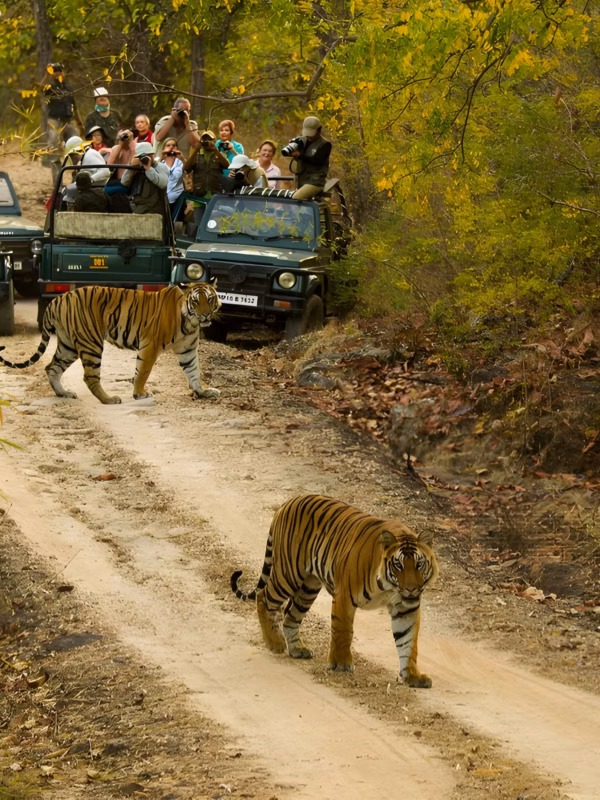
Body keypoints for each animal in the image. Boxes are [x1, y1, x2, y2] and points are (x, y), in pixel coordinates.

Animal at [0, 283, 221, 404]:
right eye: (196, 301)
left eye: (210, 299)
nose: (205, 315)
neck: (190, 322)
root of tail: (57, 299)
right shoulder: (150, 345)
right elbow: (143, 371)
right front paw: (139, 394)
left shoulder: (187, 349)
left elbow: (193, 371)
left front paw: (203, 391)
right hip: (91, 342)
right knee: (89, 377)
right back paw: (109, 400)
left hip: (68, 345)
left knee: (51, 368)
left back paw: (63, 393)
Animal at [231, 494, 439, 688]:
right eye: (398, 565)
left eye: (419, 564)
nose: (411, 589)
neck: (389, 587)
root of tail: (287, 502)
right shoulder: (344, 597)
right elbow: (343, 631)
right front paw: (341, 664)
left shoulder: (406, 609)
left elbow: (408, 642)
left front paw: (412, 676)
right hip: (288, 574)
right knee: (263, 597)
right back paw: (274, 643)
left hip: (309, 586)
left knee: (290, 614)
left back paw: (297, 649)